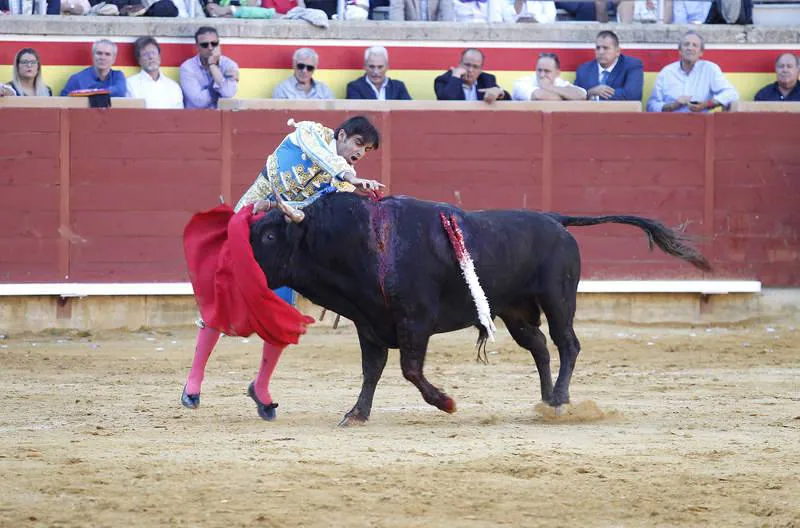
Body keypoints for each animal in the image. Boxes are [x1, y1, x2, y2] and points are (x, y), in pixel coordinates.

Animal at [248, 194, 708, 424]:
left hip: (559, 299)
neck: (362, 240)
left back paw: (560, 399)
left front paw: (447, 403)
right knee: (540, 346)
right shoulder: (370, 324)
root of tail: (554, 219)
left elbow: (409, 370)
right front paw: (356, 414)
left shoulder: (414, 321)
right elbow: (372, 371)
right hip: (515, 311)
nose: (239, 265)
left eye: (269, 236)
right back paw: (546, 401)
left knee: (567, 344)